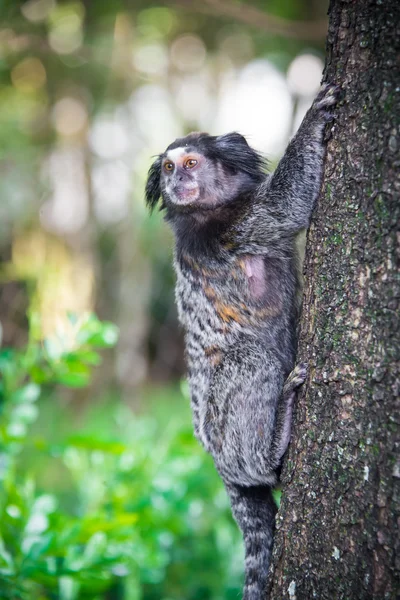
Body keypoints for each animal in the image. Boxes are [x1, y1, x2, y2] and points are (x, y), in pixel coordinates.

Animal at [144, 84, 338, 600]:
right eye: (168, 168)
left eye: (189, 164)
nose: (176, 180)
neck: (209, 211)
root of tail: (218, 462)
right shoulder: (232, 232)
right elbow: (286, 207)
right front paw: (312, 121)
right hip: (225, 422)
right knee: (255, 363)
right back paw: (274, 444)